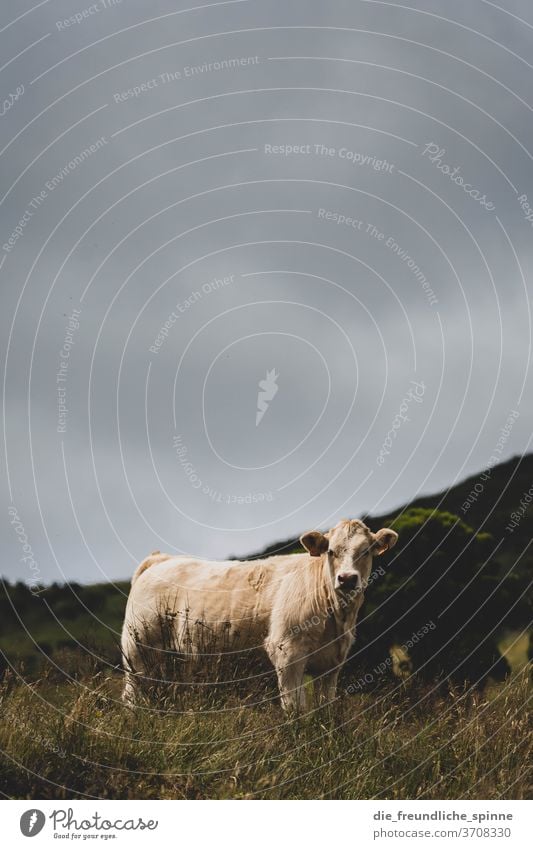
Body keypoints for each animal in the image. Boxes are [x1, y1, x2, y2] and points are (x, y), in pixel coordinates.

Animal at [120, 516, 394, 708]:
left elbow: (325, 708)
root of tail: (161, 560)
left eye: (366, 551)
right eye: (331, 551)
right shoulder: (287, 654)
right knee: (132, 698)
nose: (347, 579)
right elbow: (296, 708)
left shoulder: (332, 666)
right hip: (139, 653)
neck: (337, 619)